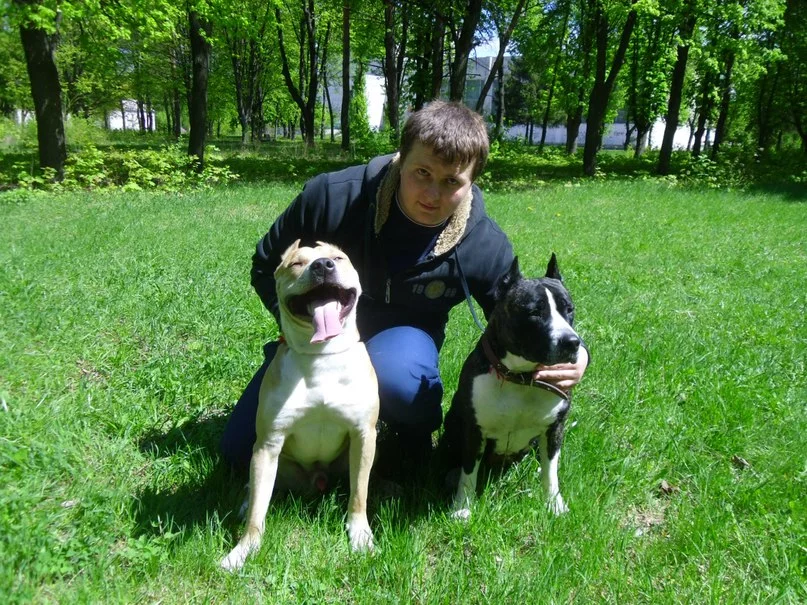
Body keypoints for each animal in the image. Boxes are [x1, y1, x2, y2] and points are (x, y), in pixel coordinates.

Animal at [221, 240, 379, 571]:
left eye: (338, 259)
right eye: (295, 263)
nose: (322, 266)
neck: (321, 355)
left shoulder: (363, 435)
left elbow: (359, 493)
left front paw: (361, 536)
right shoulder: (269, 443)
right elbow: (257, 513)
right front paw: (242, 551)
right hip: (270, 460)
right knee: (255, 490)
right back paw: (245, 502)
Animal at [440, 254, 581, 520]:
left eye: (569, 309)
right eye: (534, 312)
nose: (572, 342)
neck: (521, 377)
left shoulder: (554, 428)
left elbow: (551, 470)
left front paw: (554, 503)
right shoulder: (474, 431)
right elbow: (468, 473)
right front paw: (462, 507)